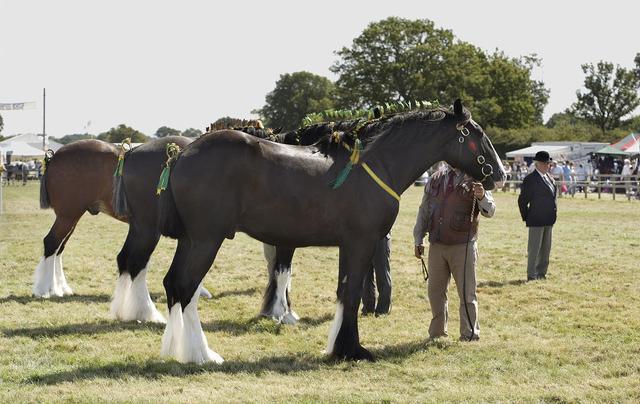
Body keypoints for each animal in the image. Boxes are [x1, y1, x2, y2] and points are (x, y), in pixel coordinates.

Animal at [159, 100, 504, 362]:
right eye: (476, 133)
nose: (499, 174)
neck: (376, 165)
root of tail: (182, 155)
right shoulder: (361, 242)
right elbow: (350, 296)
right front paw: (352, 349)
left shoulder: (347, 245)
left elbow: (342, 292)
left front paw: (338, 346)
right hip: (206, 240)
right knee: (186, 288)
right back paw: (200, 354)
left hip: (190, 240)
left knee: (173, 284)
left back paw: (175, 349)